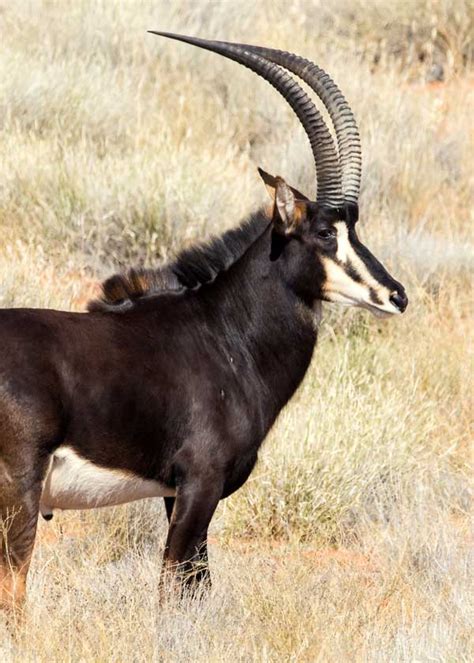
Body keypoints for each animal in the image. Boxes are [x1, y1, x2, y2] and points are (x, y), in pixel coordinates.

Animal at [0, 33, 407, 611]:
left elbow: (197, 586)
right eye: (325, 233)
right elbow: (174, 590)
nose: (396, 295)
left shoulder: (176, 497)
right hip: (20, 489)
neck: (225, 334)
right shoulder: (199, 485)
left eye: (355, 226)